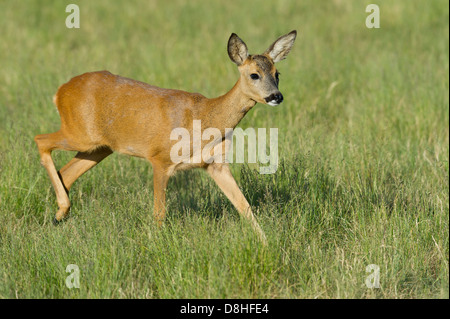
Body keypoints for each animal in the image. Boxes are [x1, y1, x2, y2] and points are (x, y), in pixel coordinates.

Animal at [34, 30, 296, 245]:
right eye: (254, 74)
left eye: (277, 73)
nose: (276, 96)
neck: (205, 117)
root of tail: (60, 92)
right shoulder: (160, 158)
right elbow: (159, 212)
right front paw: (156, 245)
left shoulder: (216, 164)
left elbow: (244, 206)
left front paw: (267, 244)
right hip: (79, 133)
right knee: (40, 139)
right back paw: (62, 209)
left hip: (100, 147)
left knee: (66, 173)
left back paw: (59, 216)